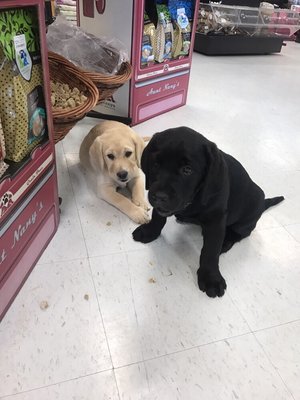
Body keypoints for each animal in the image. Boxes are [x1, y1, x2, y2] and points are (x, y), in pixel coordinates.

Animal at [132, 126, 284, 298]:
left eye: (187, 170)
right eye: (156, 164)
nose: (159, 197)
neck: (194, 198)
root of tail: (263, 201)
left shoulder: (216, 220)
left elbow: (210, 250)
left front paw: (211, 278)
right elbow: (158, 218)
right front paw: (149, 231)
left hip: (250, 212)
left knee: (240, 233)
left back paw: (225, 241)